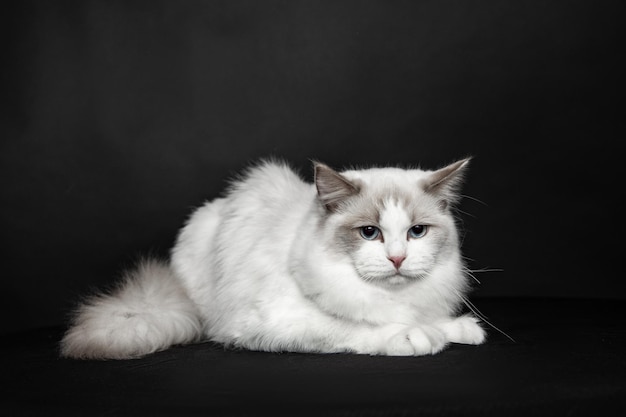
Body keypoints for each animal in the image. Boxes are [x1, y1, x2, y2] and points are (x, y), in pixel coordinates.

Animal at [61, 158, 486, 360]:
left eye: (417, 232)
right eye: (369, 233)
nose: (397, 258)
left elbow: (429, 317)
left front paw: (457, 329)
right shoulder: (277, 321)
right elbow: (354, 327)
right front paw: (415, 336)